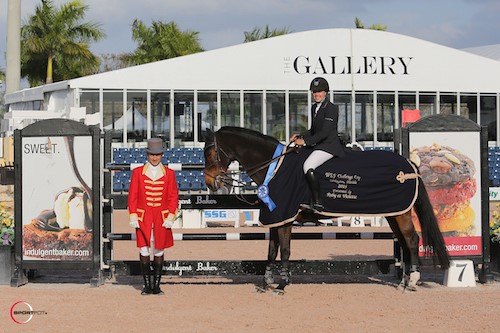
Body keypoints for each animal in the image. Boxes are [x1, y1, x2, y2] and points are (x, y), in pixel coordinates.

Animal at [203, 126, 450, 292]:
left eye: (211, 153)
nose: (210, 183)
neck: (274, 166)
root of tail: (408, 164)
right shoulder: (276, 217)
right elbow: (271, 251)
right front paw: (265, 283)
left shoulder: (285, 217)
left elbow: (285, 250)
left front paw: (282, 285)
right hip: (393, 213)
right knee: (403, 241)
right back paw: (402, 282)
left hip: (401, 213)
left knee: (411, 240)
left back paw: (413, 281)